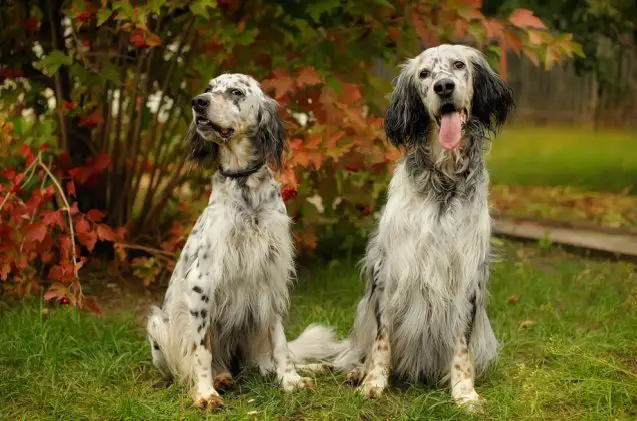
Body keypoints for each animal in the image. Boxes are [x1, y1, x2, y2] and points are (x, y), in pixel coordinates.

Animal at [147, 74, 340, 408]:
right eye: (209, 89)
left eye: (236, 92)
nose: (198, 102)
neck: (244, 184)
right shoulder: (201, 284)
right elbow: (202, 350)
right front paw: (205, 393)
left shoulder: (271, 276)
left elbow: (281, 345)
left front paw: (291, 380)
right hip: (158, 325)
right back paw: (222, 377)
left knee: (270, 360)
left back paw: (315, 367)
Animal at [300, 44, 516, 408]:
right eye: (424, 74)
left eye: (459, 65)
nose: (444, 87)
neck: (443, 180)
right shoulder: (391, 270)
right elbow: (382, 341)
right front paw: (373, 383)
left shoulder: (467, 276)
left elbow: (461, 346)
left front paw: (464, 392)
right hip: (363, 311)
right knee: (353, 354)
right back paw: (355, 371)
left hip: (486, 339)